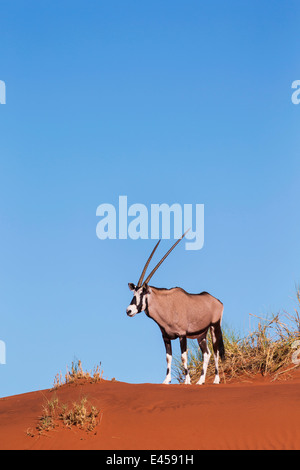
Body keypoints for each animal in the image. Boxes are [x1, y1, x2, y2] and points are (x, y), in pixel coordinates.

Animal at [126, 231, 225, 386]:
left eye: (142, 293)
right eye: (133, 294)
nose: (129, 310)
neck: (167, 305)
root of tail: (217, 301)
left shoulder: (182, 335)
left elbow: (184, 357)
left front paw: (187, 381)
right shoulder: (166, 337)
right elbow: (168, 357)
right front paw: (166, 381)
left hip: (214, 327)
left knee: (216, 351)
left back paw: (216, 380)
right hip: (201, 334)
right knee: (206, 353)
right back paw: (201, 381)